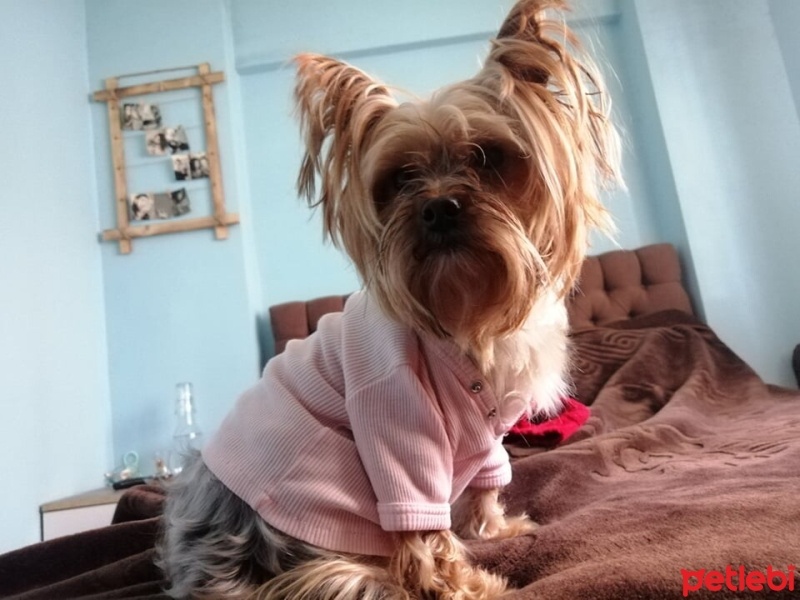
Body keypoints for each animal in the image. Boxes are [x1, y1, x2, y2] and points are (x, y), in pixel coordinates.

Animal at [156, 2, 620, 596]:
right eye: (399, 178)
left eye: (488, 157)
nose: (438, 207)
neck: (464, 312)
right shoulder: (397, 428)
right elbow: (427, 534)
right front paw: (471, 586)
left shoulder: (489, 439)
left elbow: (488, 482)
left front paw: (496, 530)